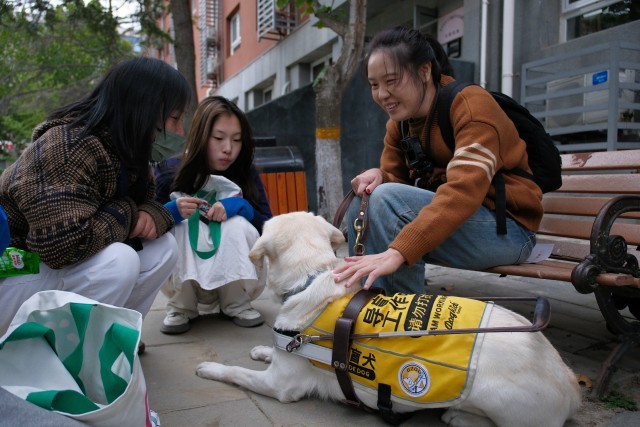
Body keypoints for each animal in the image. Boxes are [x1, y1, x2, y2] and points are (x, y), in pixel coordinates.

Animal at [198, 212, 584, 426]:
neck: (313, 274)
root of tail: (570, 380)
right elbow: (271, 349)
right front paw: (262, 349)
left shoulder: (281, 385)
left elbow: (235, 373)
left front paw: (209, 368)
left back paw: (459, 416)